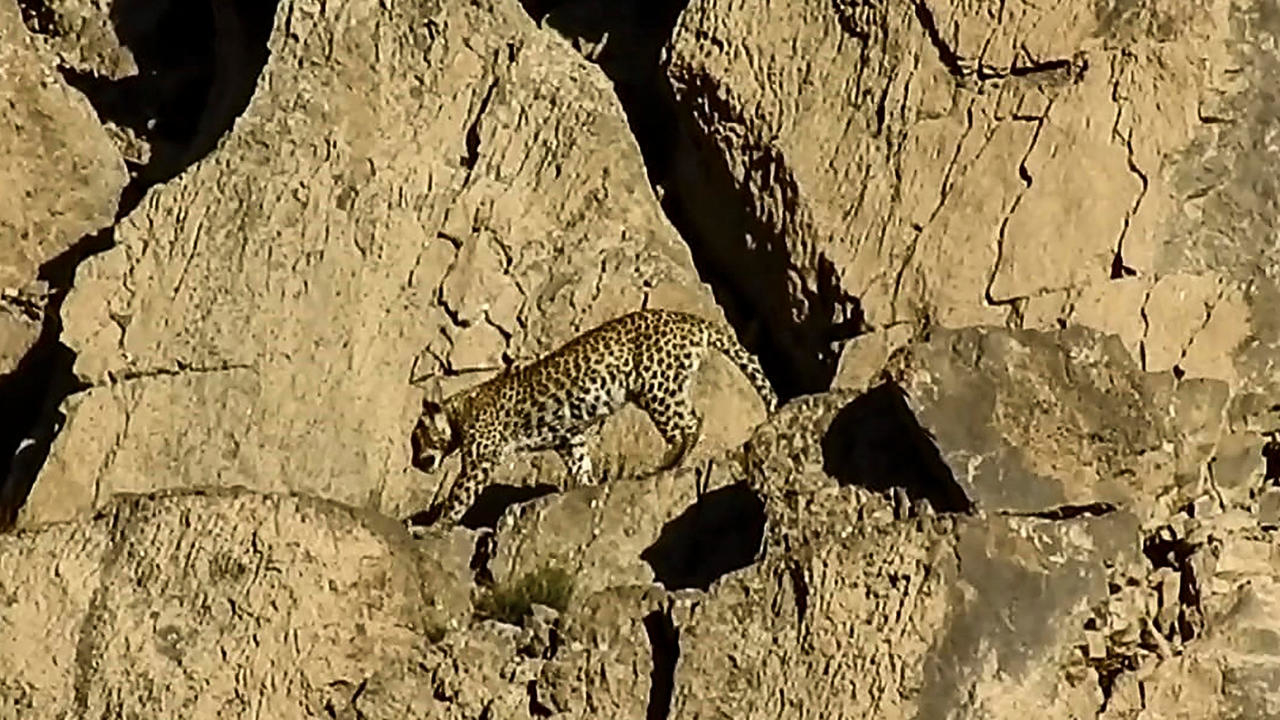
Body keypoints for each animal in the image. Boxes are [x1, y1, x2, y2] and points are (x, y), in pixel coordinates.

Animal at [410, 308, 778, 526]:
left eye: (417, 439)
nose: (415, 463)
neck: (458, 411)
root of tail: (689, 319)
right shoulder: (570, 437)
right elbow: (581, 465)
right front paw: (585, 487)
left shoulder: (480, 459)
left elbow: (459, 495)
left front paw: (435, 527)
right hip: (667, 384)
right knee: (692, 418)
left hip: (656, 385)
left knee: (688, 424)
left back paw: (667, 464)